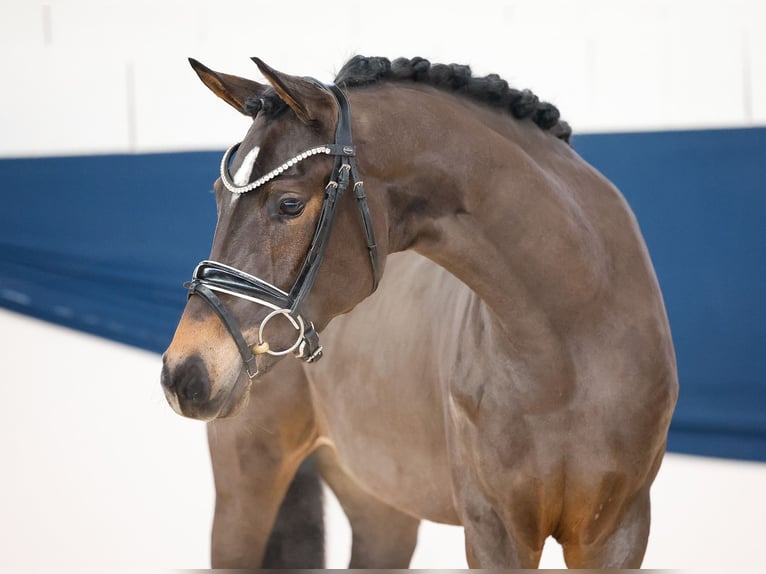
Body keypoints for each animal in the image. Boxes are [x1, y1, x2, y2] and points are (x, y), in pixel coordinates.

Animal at [160, 56, 680, 568]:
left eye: (289, 204)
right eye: (218, 195)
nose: (184, 372)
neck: (571, 341)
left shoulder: (617, 532)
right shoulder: (494, 530)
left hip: (382, 505)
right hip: (246, 489)